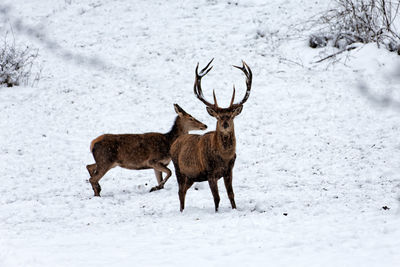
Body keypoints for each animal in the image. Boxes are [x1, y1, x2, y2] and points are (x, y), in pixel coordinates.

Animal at [170, 59, 252, 213]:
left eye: (231, 116)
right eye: (218, 117)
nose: (225, 124)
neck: (224, 157)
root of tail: (174, 143)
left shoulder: (229, 171)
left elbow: (231, 195)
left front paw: (234, 209)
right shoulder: (210, 172)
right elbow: (217, 198)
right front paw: (217, 212)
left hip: (191, 177)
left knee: (184, 190)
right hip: (178, 168)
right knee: (180, 191)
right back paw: (182, 211)